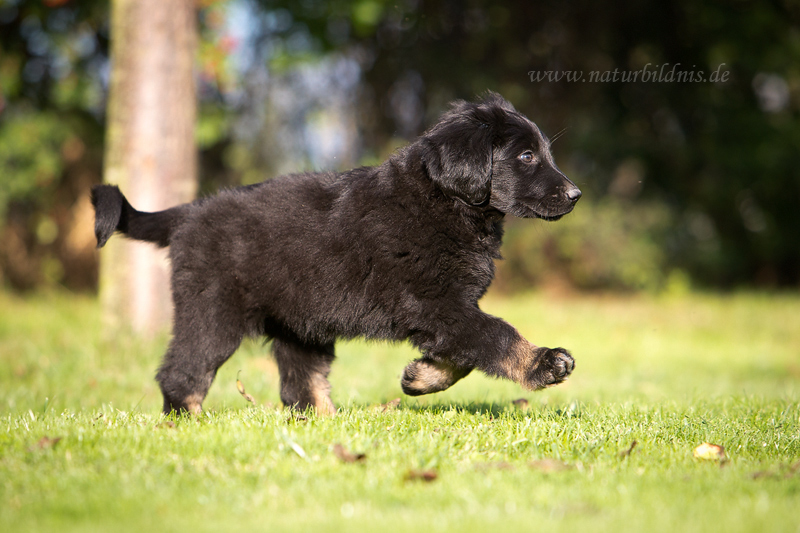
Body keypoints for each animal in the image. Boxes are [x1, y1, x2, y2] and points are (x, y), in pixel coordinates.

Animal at [91, 92, 582, 415]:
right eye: (526, 156)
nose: (576, 194)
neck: (446, 201)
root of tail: (189, 212)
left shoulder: (446, 309)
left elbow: (463, 352)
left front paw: (420, 377)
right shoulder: (434, 304)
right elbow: (494, 334)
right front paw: (542, 363)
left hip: (299, 322)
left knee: (300, 386)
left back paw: (329, 427)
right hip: (213, 312)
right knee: (183, 374)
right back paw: (187, 425)